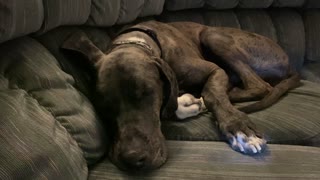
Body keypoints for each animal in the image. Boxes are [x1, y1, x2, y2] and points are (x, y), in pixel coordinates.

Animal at [62, 20, 300, 171]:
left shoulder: (214, 71)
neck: (136, 40)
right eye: (103, 105)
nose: (132, 158)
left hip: (212, 34)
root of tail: (289, 63)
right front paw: (187, 103)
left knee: (260, 86)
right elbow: (171, 105)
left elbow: (212, 94)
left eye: (148, 93)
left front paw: (238, 127)